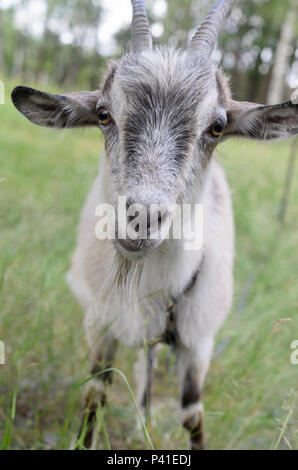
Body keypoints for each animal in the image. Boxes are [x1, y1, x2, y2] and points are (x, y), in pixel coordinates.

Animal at [10, 0, 296, 450]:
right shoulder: (101, 324)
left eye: (217, 127)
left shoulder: (199, 341)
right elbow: (95, 395)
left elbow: (192, 414)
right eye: (104, 114)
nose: (142, 217)